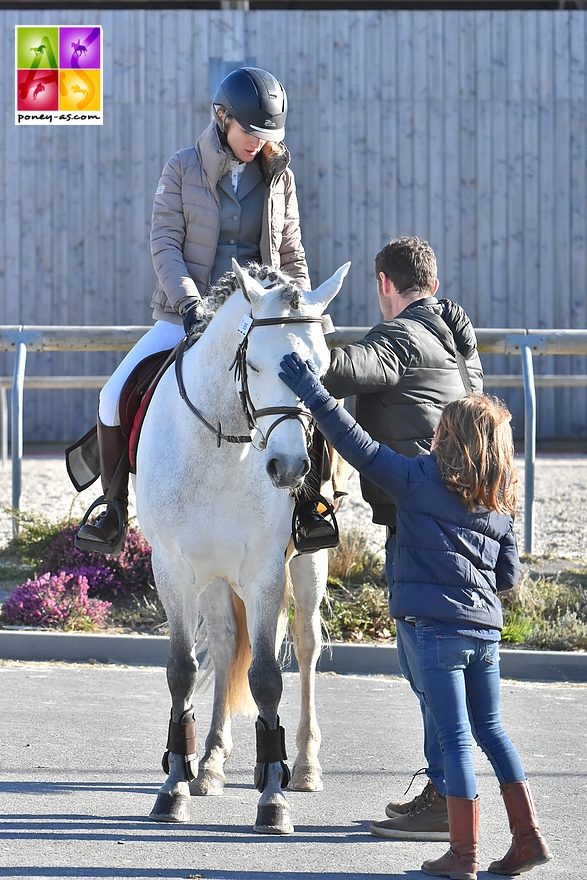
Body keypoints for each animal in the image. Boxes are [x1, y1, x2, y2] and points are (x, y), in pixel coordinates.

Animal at [136, 258, 352, 836]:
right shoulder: (173, 569)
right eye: (252, 364)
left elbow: (267, 678)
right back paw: (209, 763)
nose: (290, 467)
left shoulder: (264, 573)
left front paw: (273, 800)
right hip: (213, 578)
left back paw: (303, 766)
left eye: (320, 367)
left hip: (306, 567)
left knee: (305, 645)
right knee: (227, 642)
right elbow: (183, 670)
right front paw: (174, 788)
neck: (221, 445)